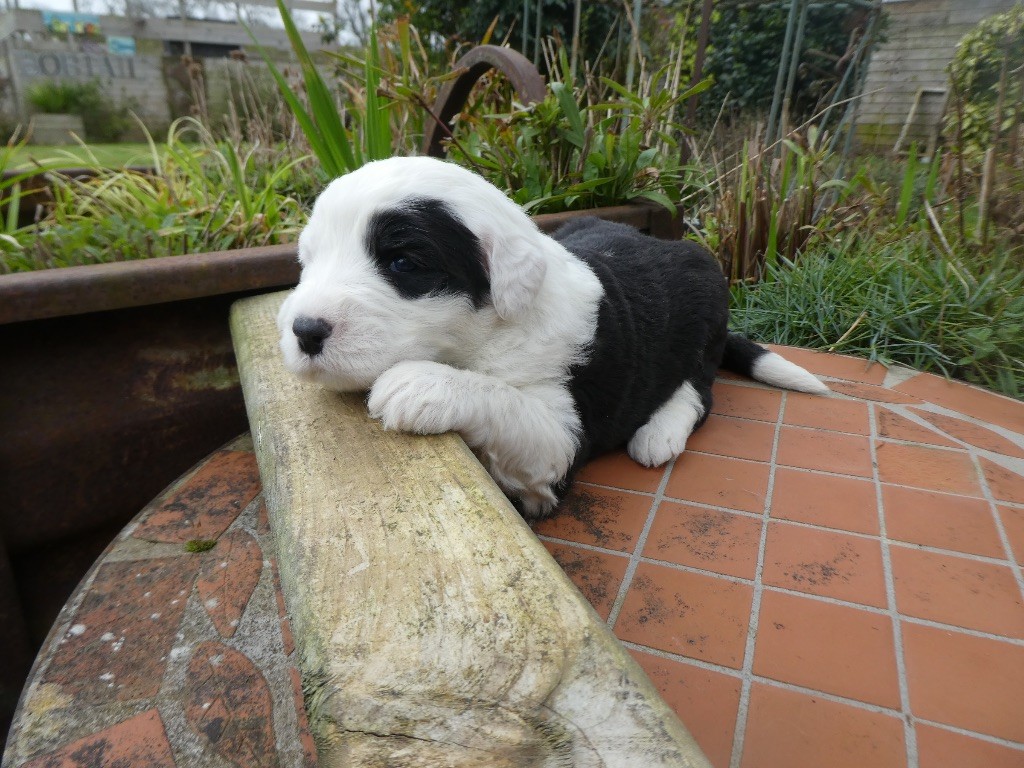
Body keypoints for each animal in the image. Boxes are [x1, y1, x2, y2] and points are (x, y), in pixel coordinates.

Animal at [277, 156, 828, 518]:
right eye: (308, 261)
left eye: (402, 264)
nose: (303, 331)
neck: (492, 332)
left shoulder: (559, 447)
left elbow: (510, 404)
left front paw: (422, 384)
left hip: (704, 326)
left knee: (699, 392)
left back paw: (659, 434)